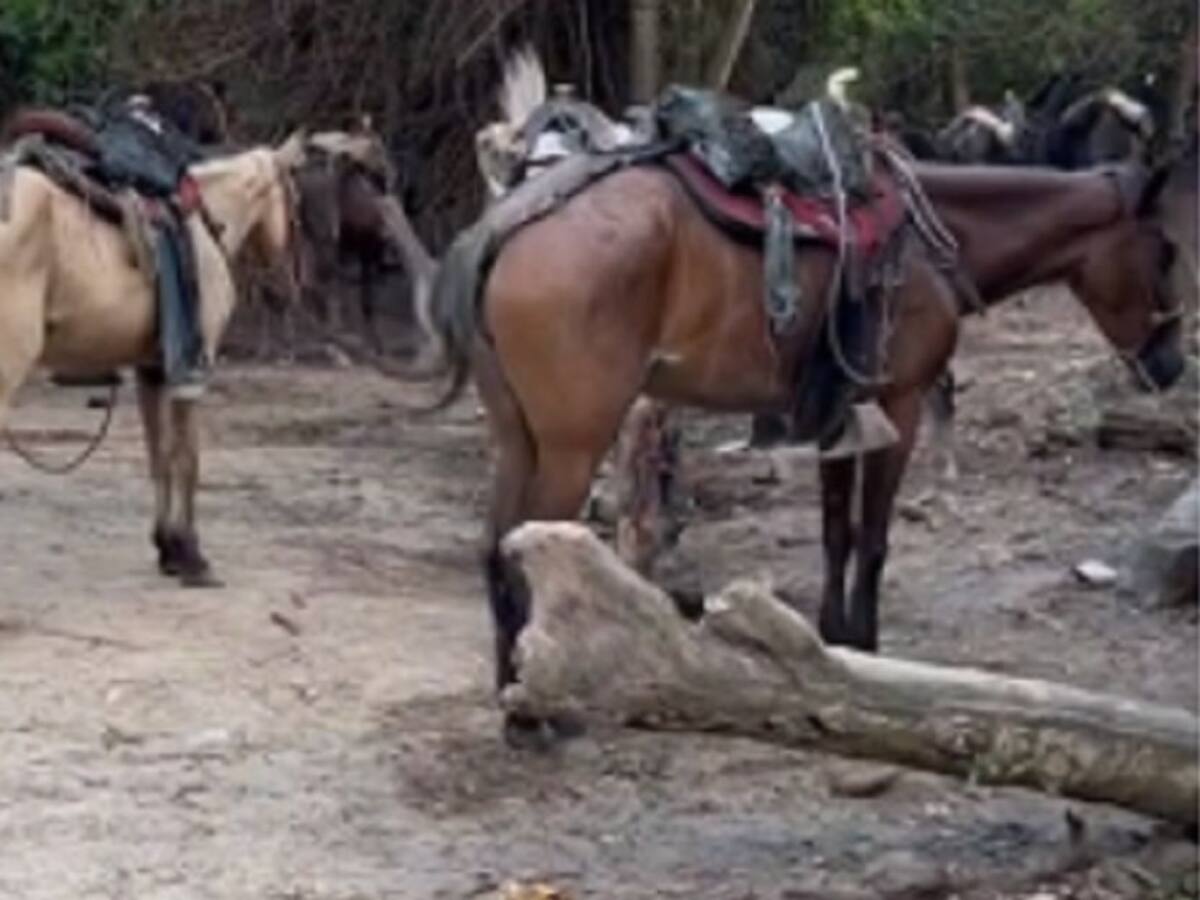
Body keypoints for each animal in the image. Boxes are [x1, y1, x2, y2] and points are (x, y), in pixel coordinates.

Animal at [0, 117, 317, 586]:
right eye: (295, 200)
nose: (290, 287)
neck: (206, 225)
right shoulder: (192, 371)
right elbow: (188, 458)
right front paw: (191, 553)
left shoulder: (152, 370)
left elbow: (160, 456)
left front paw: (166, 547)